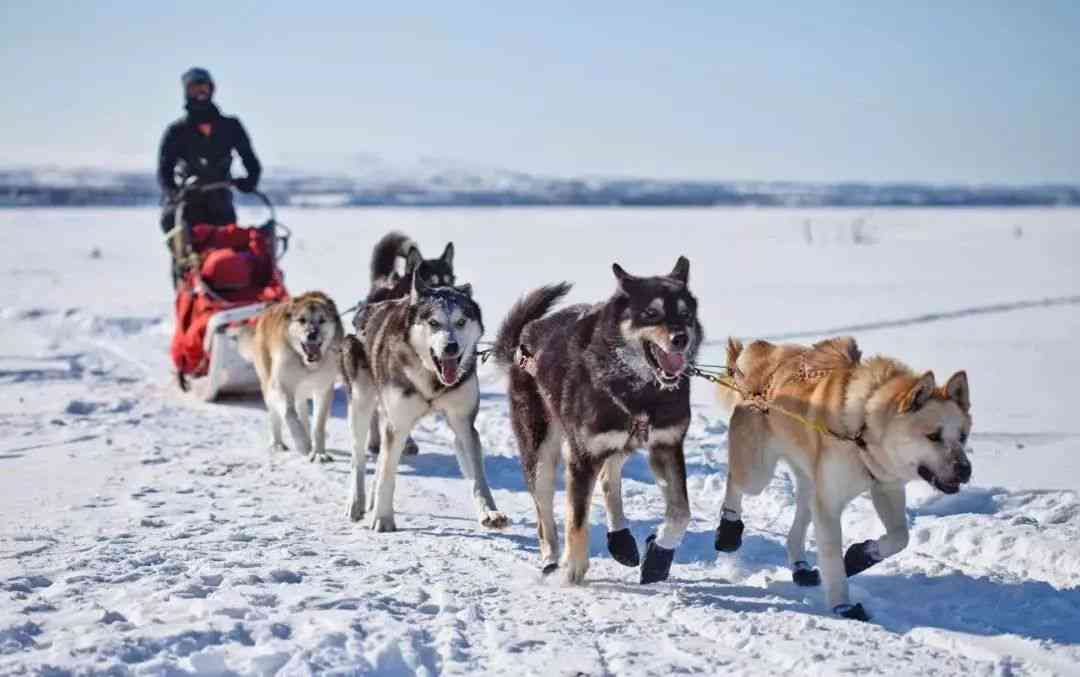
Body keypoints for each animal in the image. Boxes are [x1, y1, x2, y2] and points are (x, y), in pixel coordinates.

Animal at [246, 289, 343, 464]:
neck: (307, 365)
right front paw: (303, 445)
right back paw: (277, 443)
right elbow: (289, 415)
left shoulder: (323, 390)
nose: (311, 335)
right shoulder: (281, 386)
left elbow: (318, 425)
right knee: (276, 416)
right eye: (302, 320)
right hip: (268, 386)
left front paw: (318, 453)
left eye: (322, 320)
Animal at [341, 268, 509, 529]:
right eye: (433, 322)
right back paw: (356, 502)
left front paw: (489, 512)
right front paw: (383, 519)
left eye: (461, 322)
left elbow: (478, 477)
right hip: (361, 402)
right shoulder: (398, 424)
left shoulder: (463, 423)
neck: (432, 379)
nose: (451, 347)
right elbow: (387, 473)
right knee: (358, 458)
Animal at [494, 256, 704, 587]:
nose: (680, 338)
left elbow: (681, 512)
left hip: (620, 444)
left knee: (608, 478)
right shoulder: (583, 456)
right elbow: (576, 518)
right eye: (651, 313)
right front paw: (574, 567)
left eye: (685, 314)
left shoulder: (666, 446)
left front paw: (658, 555)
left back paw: (621, 540)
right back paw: (552, 559)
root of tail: (526, 336)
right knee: (544, 513)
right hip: (541, 452)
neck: (641, 391)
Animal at [712, 336, 976, 621]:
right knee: (735, 482)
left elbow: (900, 537)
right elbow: (831, 557)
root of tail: (762, 353)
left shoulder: (886, 488)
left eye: (962, 437)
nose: (965, 470)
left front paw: (861, 555)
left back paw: (800, 567)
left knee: (797, 527)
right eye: (933, 436)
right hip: (757, 474)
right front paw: (843, 605)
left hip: (810, 485)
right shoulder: (829, 503)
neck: (863, 431)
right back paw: (728, 530)